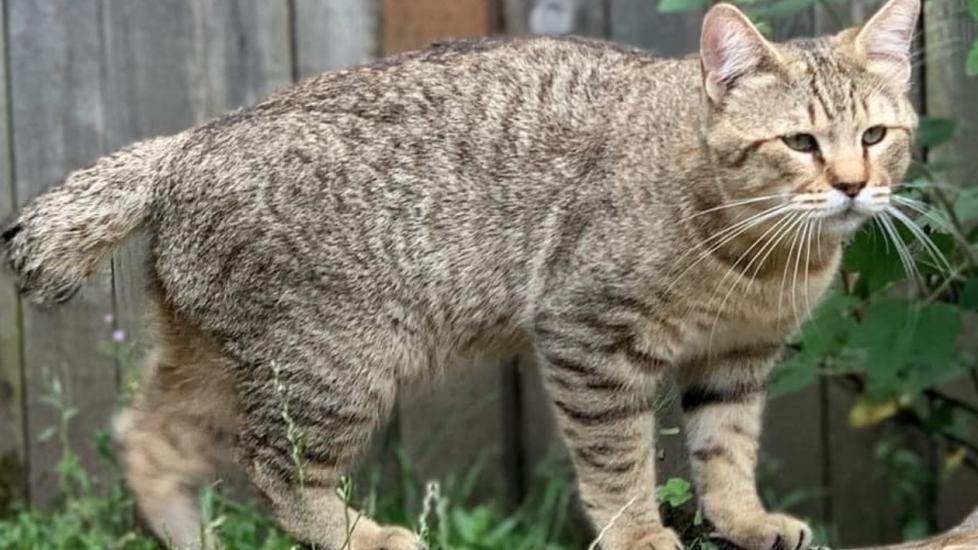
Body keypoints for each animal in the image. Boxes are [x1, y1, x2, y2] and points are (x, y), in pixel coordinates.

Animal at [1, 1, 916, 548]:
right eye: (799, 142)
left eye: (876, 135)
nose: (851, 185)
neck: (763, 258)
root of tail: (187, 141)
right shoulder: (587, 338)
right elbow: (619, 462)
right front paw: (641, 536)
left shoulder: (738, 358)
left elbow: (725, 449)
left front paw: (745, 521)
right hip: (332, 366)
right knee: (272, 466)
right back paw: (364, 535)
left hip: (213, 357)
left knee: (144, 435)